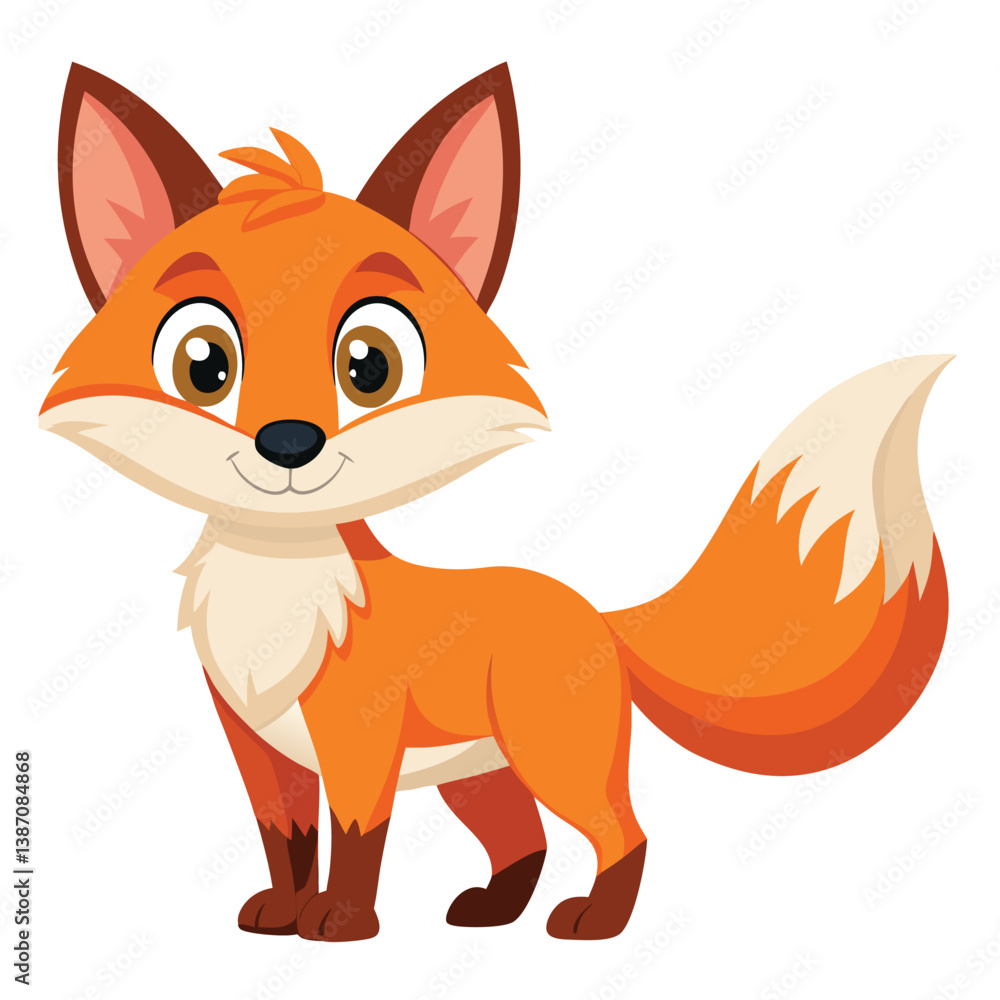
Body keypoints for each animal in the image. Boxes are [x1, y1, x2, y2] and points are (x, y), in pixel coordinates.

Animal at [40, 62, 950, 942]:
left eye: (369, 365)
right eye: (204, 363)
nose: (290, 442)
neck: (276, 595)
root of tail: (595, 616)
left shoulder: (359, 743)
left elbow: (356, 840)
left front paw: (340, 924)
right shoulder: (262, 752)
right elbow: (286, 841)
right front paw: (282, 915)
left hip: (552, 755)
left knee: (622, 833)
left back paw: (592, 924)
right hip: (480, 775)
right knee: (526, 840)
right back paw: (493, 910)